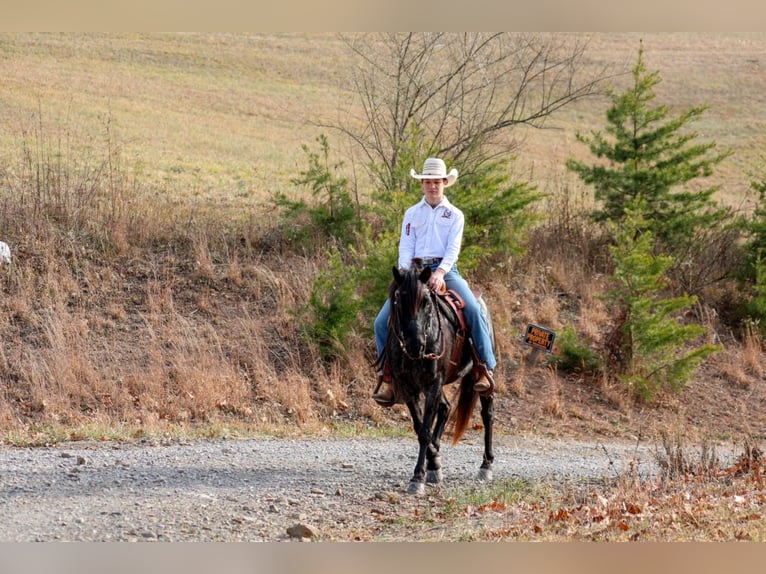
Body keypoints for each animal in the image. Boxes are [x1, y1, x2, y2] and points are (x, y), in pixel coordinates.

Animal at [382, 264, 495, 495]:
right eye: (398, 300)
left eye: (426, 301)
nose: (416, 345)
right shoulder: (408, 386)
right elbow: (419, 427)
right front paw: (433, 462)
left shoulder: (433, 382)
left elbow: (425, 431)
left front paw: (418, 477)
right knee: (445, 407)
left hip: (479, 375)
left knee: (487, 414)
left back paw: (486, 466)